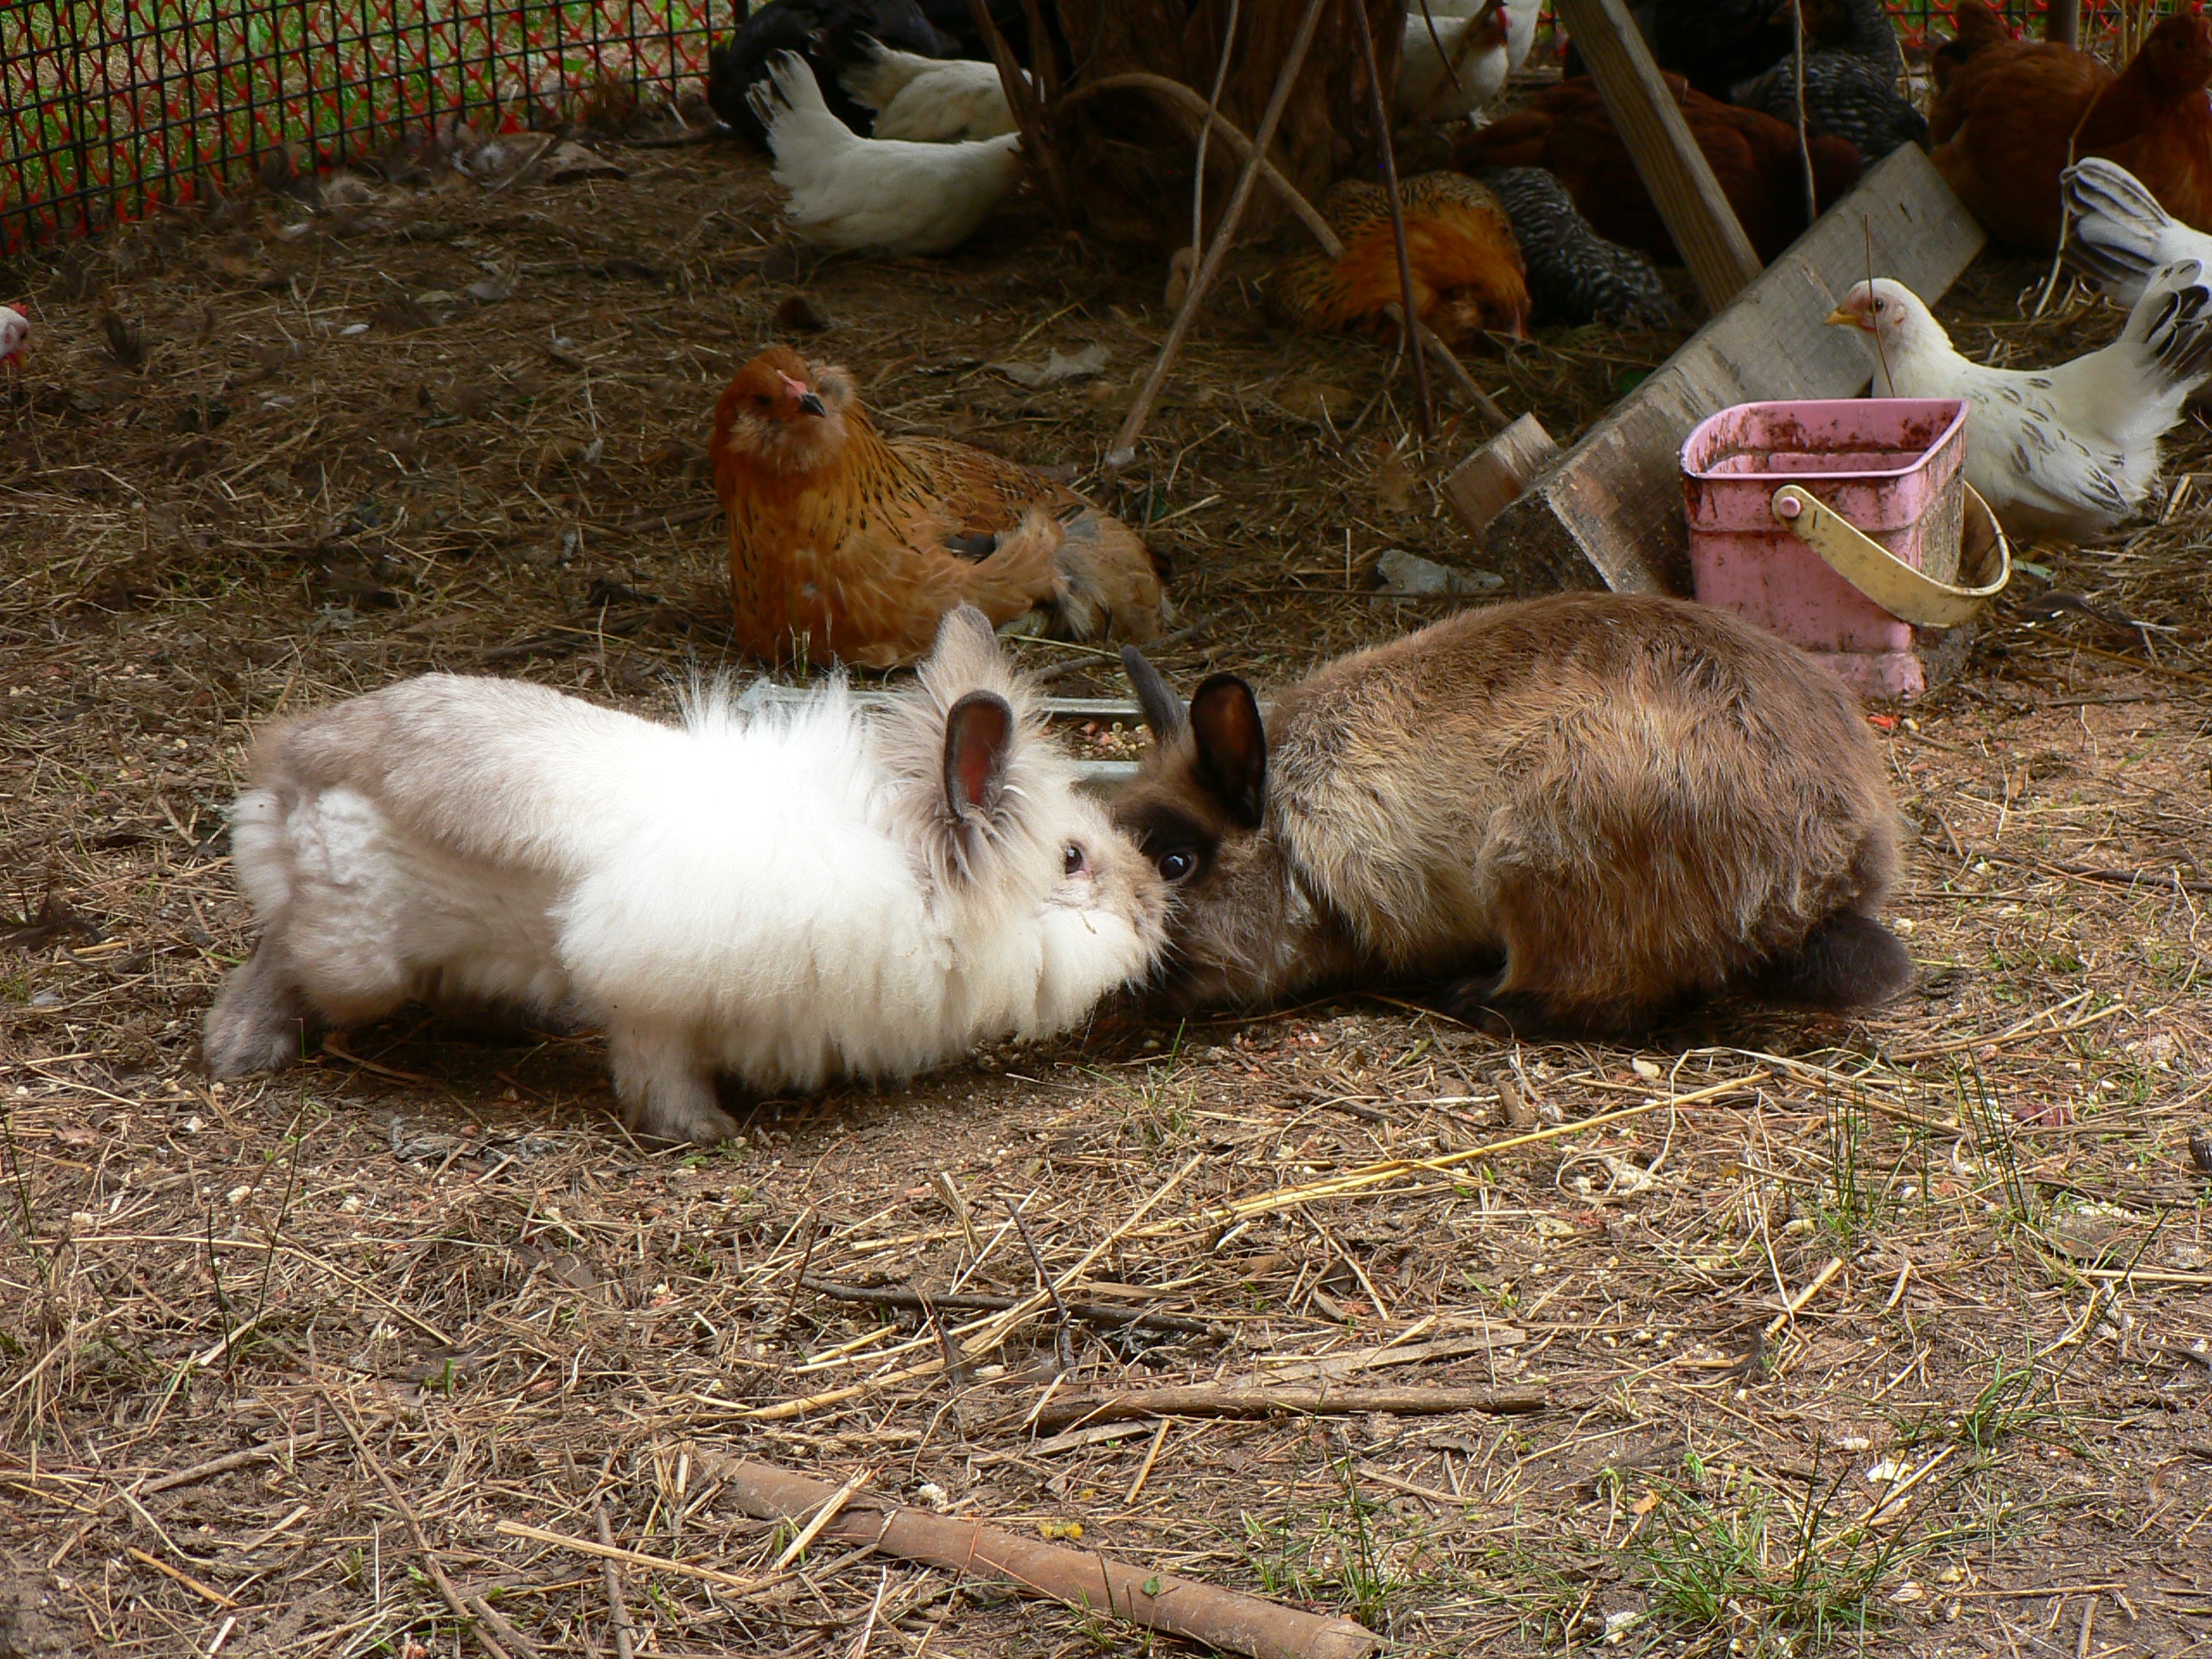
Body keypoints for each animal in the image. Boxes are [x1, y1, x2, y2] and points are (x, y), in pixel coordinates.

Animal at [203, 606, 1176, 1141]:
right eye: (1073, 860)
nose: (1155, 903)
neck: (911, 871)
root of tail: (293, 759)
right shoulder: (654, 994)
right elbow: (655, 1070)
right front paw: (703, 1130)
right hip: (356, 955)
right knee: (280, 956)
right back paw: (239, 1046)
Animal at [1115, 597, 1910, 1039]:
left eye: (1177, 864)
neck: (1293, 840)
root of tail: (1828, 869)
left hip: (1530, 854)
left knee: (1603, 999)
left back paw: (1477, 1002)